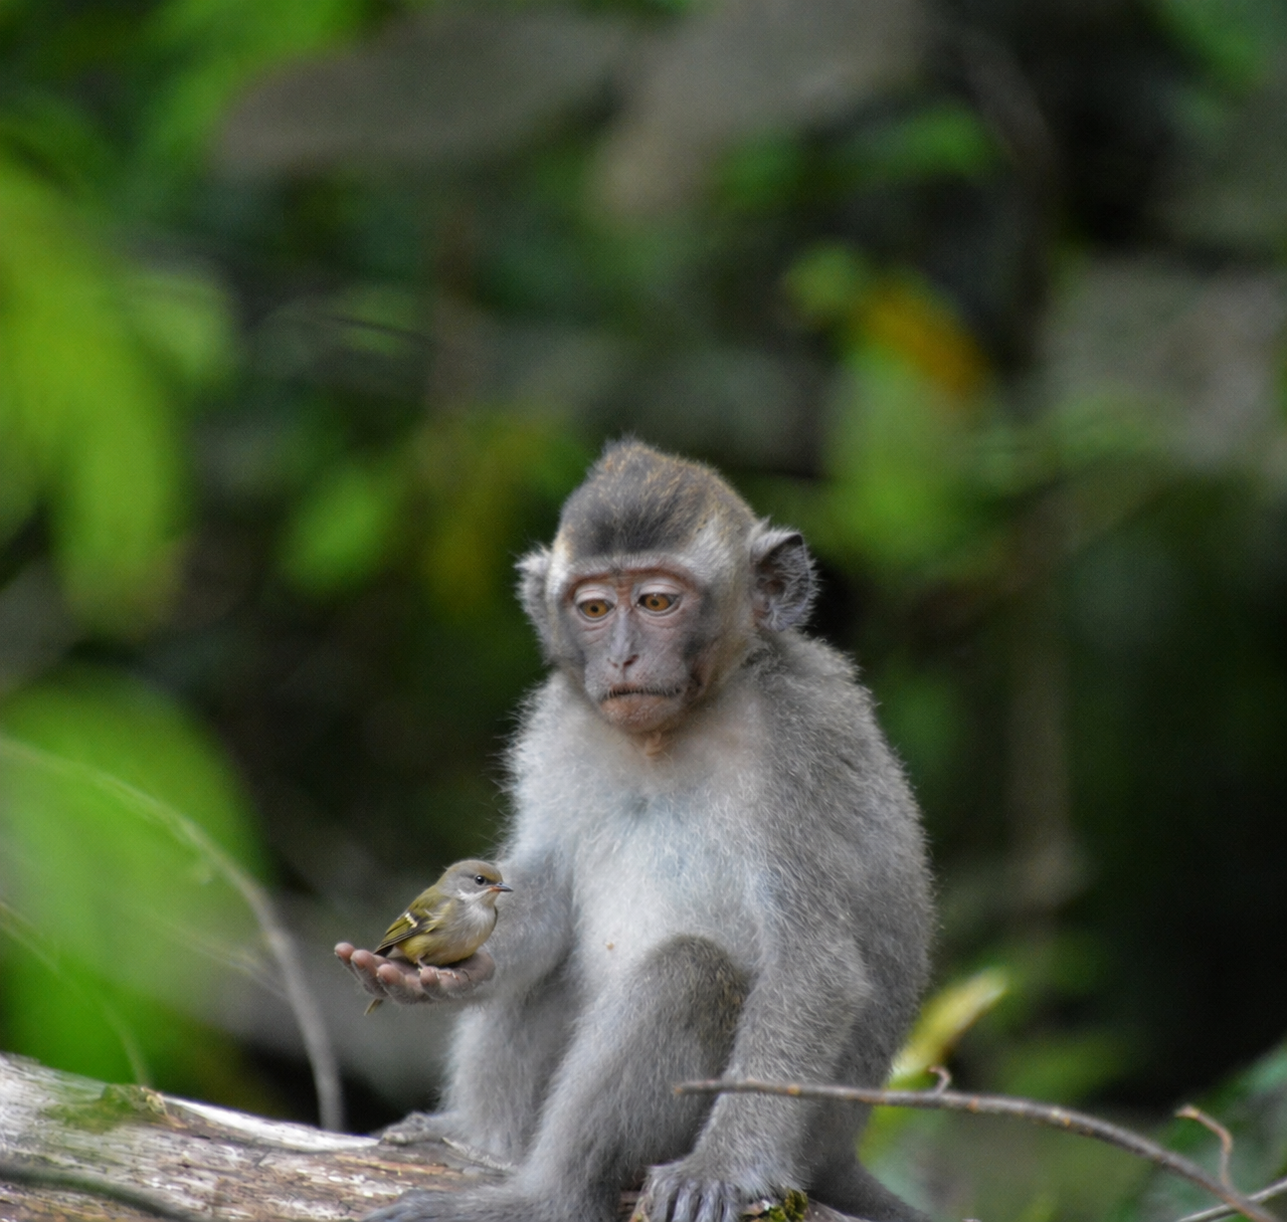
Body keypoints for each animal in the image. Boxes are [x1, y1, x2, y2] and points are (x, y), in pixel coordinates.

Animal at [336, 440, 933, 1222]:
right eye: (593, 608)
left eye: (656, 601)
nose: (620, 656)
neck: (671, 731)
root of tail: (840, 1153)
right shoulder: (560, 724)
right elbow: (540, 898)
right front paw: (455, 974)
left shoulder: (800, 743)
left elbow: (815, 966)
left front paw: (721, 1167)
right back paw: (479, 1141)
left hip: (805, 1133)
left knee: (690, 974)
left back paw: (546, 1198)